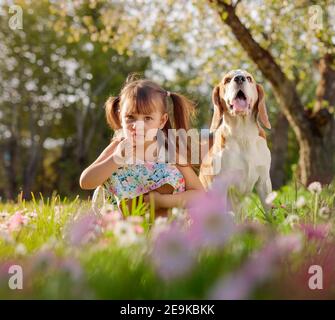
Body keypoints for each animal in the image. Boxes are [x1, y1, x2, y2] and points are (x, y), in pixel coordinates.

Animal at [200, 69, 272, 210]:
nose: (239, 78)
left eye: (249, 78)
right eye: (227, 80)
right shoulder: (221, 187)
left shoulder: (264, 182)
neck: (243, 136)